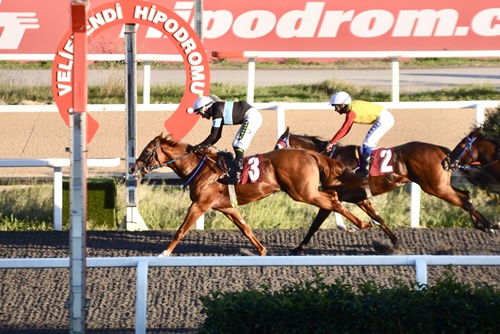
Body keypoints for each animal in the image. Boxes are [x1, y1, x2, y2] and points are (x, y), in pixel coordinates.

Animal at [129, 132, 376, 256]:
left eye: (147, 151)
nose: (133, 168)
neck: (200, 168)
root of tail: (311, 154)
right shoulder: (226, 207)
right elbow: (246, 229)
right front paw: (262, 250)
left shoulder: (200, 204)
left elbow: (180, 231)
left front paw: (164, 253)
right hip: (304, 191)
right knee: (333, 198)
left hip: (302, 192)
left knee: (333, 201)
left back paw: (363, 223)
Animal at [276, 126, 498, 250]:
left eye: (278, 147)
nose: (272, 162)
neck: (331, 160)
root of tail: (444, 153)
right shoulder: (360, 198)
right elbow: (379, 219)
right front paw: (396, 243)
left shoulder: (336, 195)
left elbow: (315, 224)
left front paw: (297, 248)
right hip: (439, 185)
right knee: (466, 196)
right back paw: (483, 225)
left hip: (435, 186)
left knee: (464, 201)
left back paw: (490, 225)